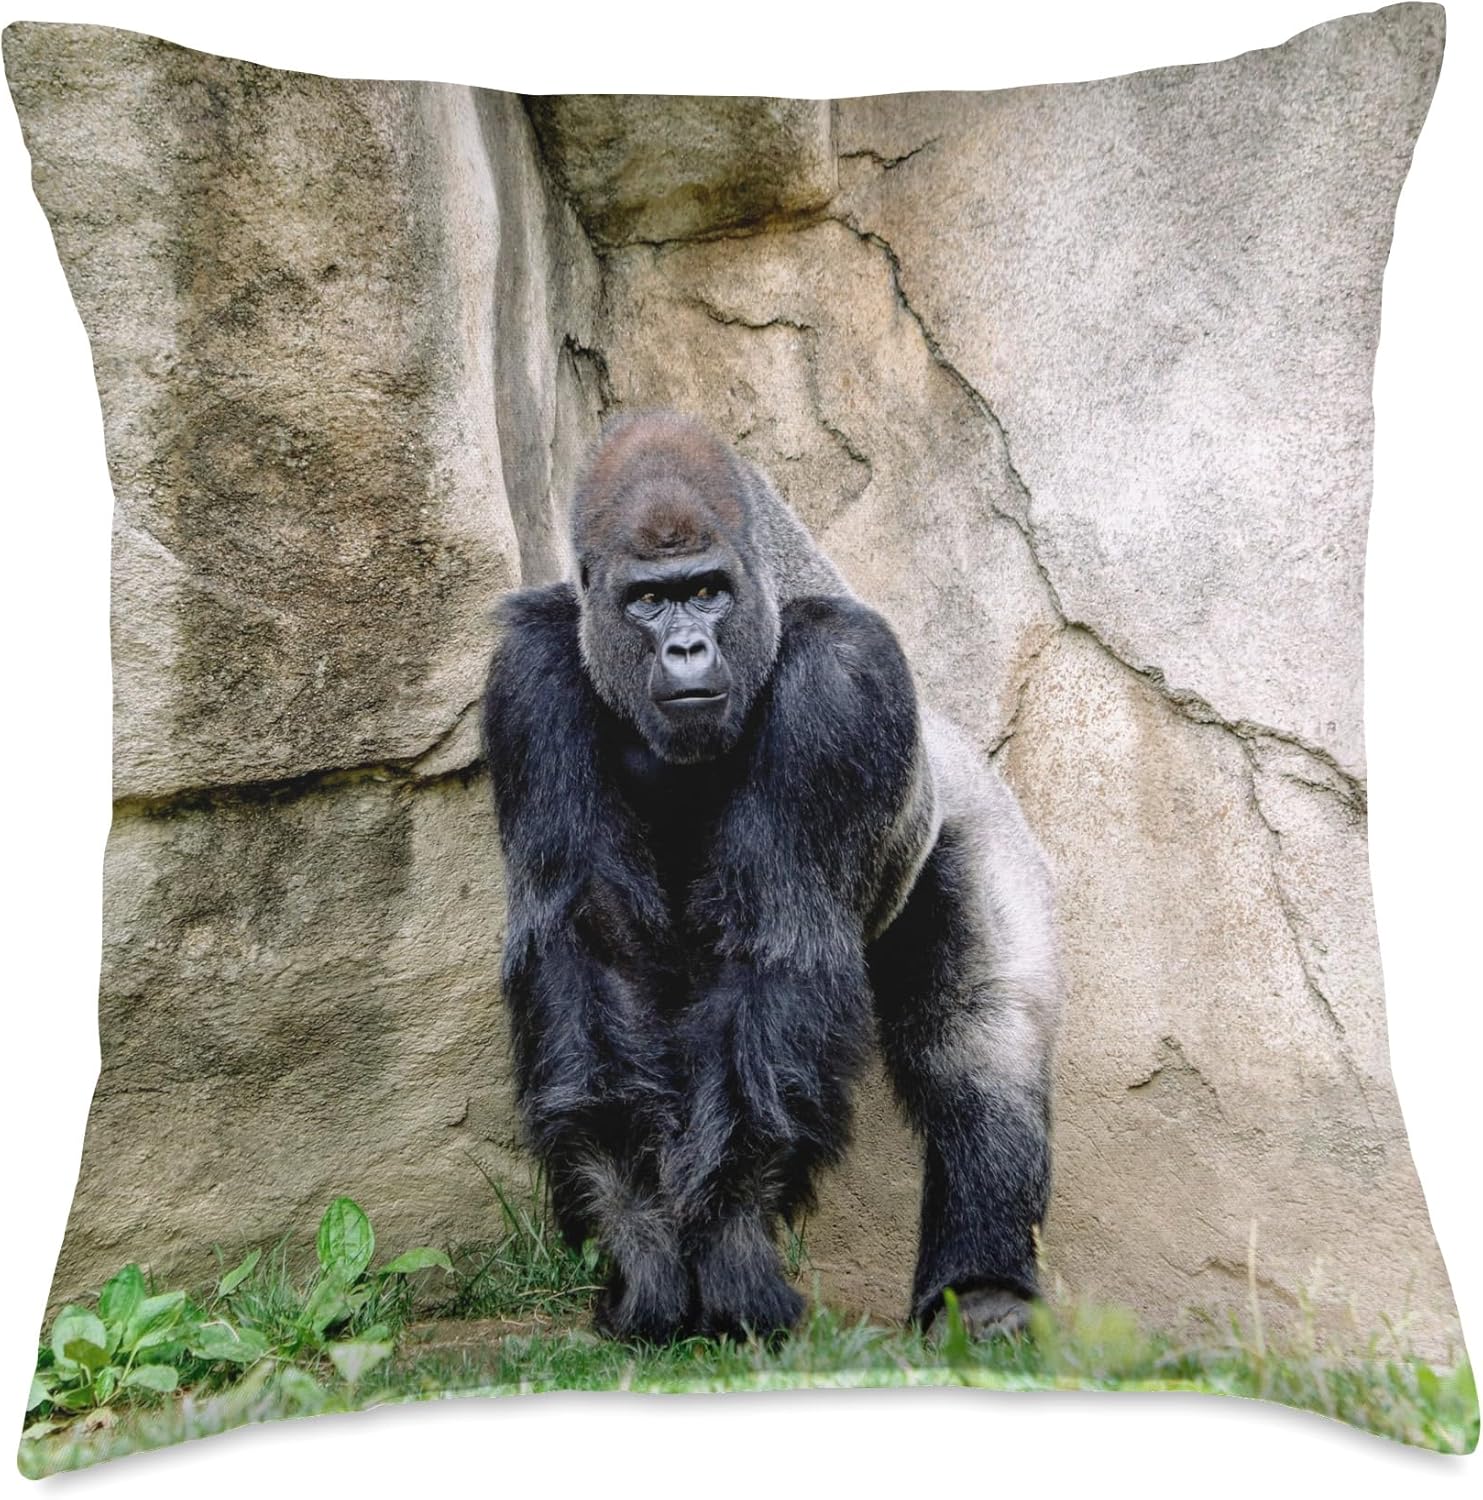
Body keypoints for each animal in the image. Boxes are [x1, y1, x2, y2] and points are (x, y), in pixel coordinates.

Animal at [481, 410, 1062, 1342]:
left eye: (707, 590)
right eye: (648, 601)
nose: (686, 647)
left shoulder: (843, 681)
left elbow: (776, 954)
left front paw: (729, 1252)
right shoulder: (530, 676)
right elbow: (590, 949)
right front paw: (644, 1249)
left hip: (984, 828)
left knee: (979, 1044)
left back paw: (983, 1287)